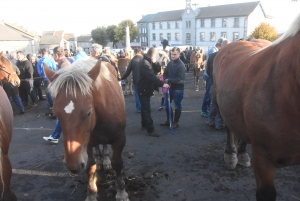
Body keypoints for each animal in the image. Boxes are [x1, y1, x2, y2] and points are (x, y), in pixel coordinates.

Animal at [44, 59, 128, 200]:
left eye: (88, 113)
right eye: (56, 114)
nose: (73, 165)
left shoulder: (120, 139)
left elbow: (117, 163)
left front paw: (121, 191)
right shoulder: (86, 144)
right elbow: (90, 166)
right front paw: (92, 193)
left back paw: (105, 160)